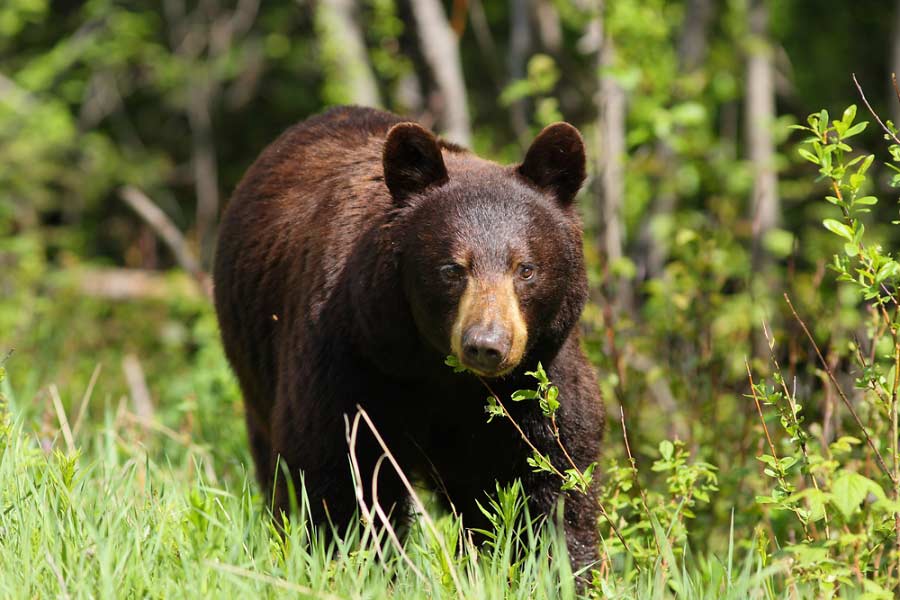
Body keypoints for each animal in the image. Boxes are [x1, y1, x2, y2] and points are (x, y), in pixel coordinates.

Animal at [212, 105, 604, 568]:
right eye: (452, 268)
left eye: (525, 268)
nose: (486, 345)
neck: (439, 373)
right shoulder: (351, 358)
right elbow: (340, 473)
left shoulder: (540, 375)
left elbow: (552, 475)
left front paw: (560, 564)